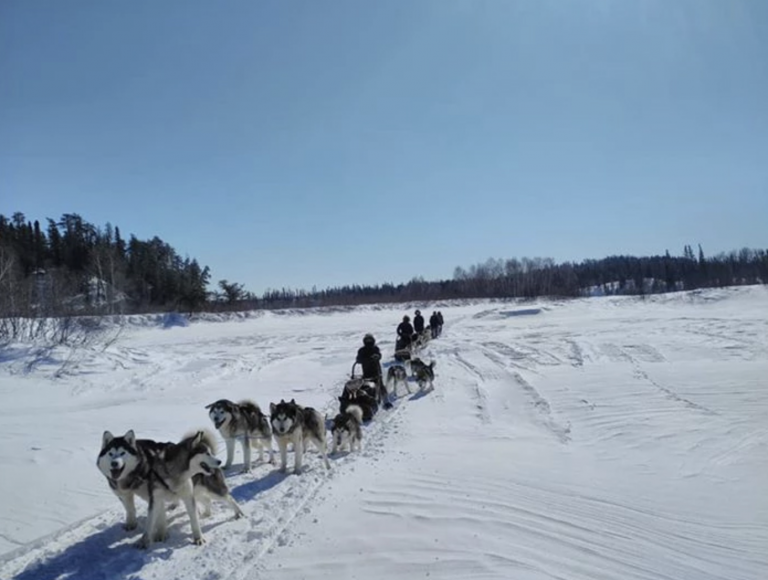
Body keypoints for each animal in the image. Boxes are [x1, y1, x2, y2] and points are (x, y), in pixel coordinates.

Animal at [97, 430, 243, 548]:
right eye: (206, 453)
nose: (219, 462)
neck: (176, 472)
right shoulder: (155, 499)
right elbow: (150, 521)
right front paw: (144, 541)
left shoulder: (188, 497)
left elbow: (194, 521)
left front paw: (198, 538)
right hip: (198, 491)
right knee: (207, 500)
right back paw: (206, 513)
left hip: (213, 490)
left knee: (229, 498)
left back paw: (239, 513)